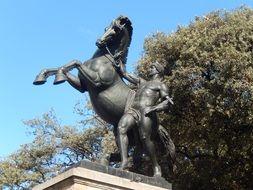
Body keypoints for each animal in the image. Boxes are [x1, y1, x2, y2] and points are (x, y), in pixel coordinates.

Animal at [33, 15, 175, 175]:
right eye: (106, 28)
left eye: (115, 31)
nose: (99, 42)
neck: (103, 61)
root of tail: (158, 125)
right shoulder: (82, 86)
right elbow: (66, 65)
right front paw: (43, 76)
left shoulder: (97, 81)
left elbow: (76, 62)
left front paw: (58, 76)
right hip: (130, 133)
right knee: (134, 151)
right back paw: (109, 163)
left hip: (143, 130)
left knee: (144, 148)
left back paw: (149, 172)